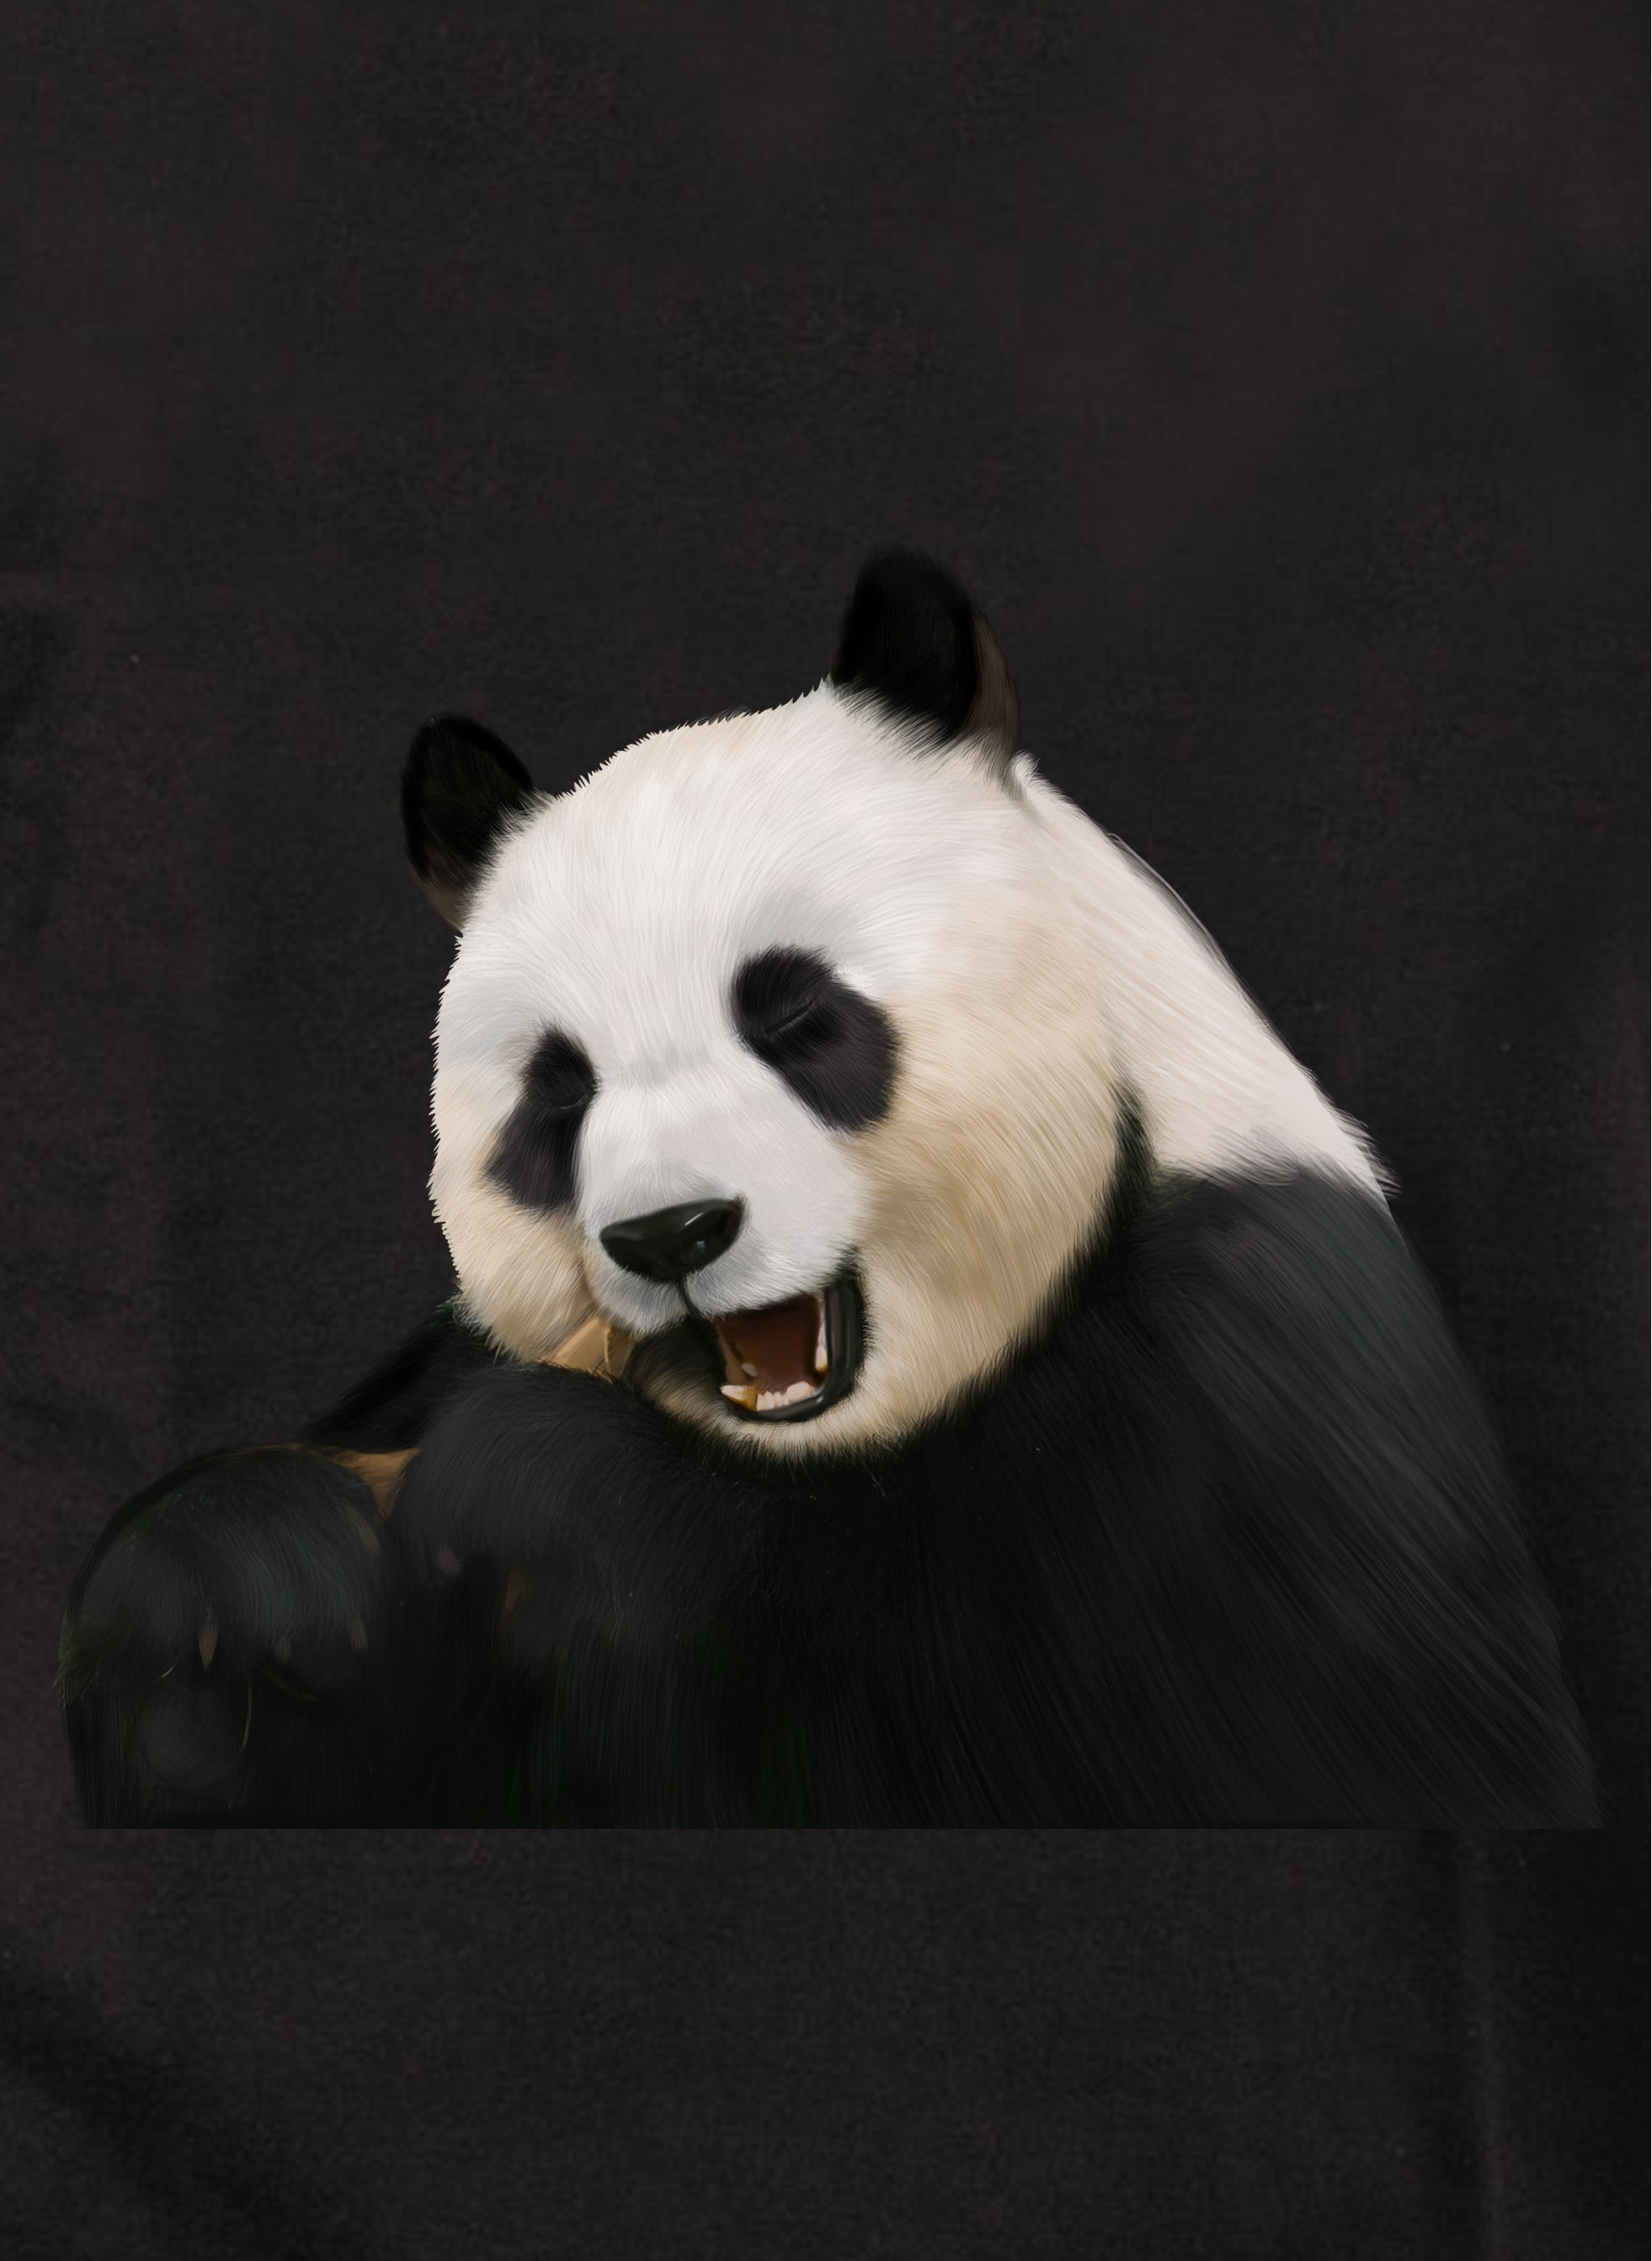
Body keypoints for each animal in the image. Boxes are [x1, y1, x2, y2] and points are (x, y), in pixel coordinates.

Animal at [60, 551, 1598, 1826]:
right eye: (558, 1094)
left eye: (798, 1017)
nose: (670, 1233)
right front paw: (243, 1577)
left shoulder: (1265, 1395)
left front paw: (542, 1485)